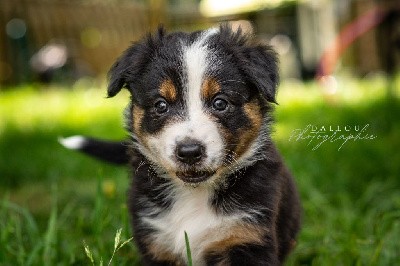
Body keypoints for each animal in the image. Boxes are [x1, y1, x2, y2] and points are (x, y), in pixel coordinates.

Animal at [61, 25, 302, 266]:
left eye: (220, 102)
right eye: (161, 105)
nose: (189, 152)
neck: (194, 194)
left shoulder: (247, 236)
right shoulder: (156, 241)